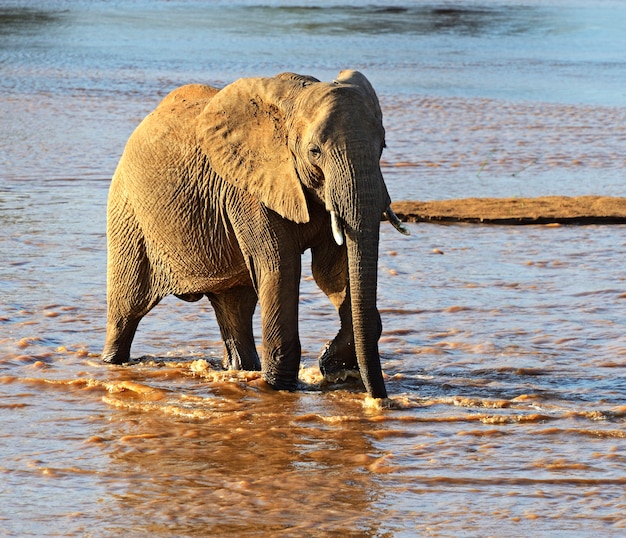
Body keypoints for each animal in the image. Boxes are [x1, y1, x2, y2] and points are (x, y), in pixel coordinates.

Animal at [101, 69, 410, 398]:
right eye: (314, 151)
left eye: (383, 146)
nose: (379, 399)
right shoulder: (248, 190)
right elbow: (280, 267)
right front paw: (280, 387)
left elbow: (334, 271)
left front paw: (333, 366)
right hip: (128, 215)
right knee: (126, 308)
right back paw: (112, 362)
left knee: (234, 308)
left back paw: (241, 370)